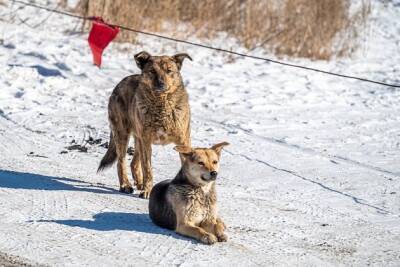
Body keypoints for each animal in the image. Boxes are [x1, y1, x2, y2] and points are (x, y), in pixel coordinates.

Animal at [97, 51, 191, 199]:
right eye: (152, 71)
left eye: (169, 71)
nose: (161, 84)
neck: (161, 105)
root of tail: (119, 83)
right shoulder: (146, 142)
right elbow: (147, 168)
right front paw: (147, 190)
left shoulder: (183, 142)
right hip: (123, 134)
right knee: (121, 161)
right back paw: (126, 185)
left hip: (138, 139)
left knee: (134, 163)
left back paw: (139, 183)